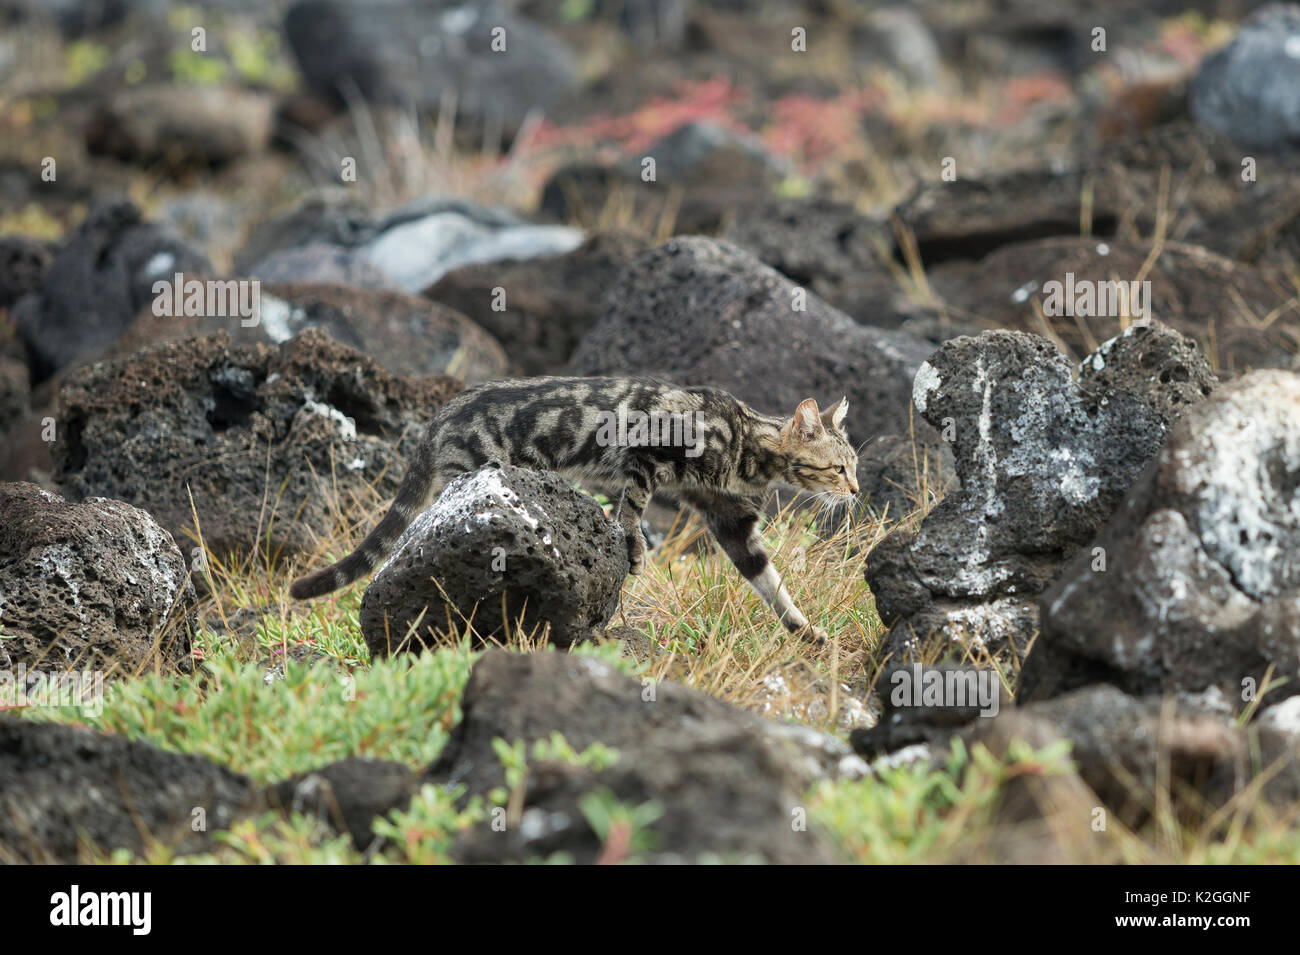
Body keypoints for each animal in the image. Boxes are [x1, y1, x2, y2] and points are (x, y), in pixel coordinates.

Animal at [296, 374, 863, 641]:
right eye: (839, 469)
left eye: (855, 466)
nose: (857, 491)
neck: (746, 447)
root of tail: (439, 415)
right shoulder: (647, 452)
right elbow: (631, 510)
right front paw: (633, 551)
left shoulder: (730, 520)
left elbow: (772, 584)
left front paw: (805, 631)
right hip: (473, 473)